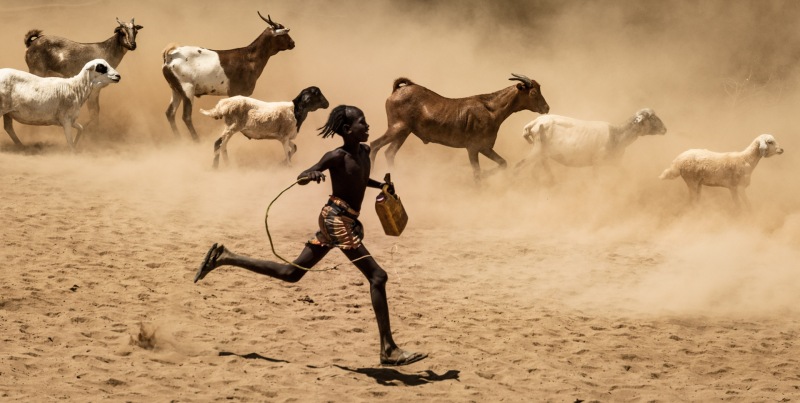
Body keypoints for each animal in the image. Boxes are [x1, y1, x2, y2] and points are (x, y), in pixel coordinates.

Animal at [162, 11, 296, 142]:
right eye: (284, 34)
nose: (292, 43)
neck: (249, 58)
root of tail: (170, 57)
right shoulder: (237, 92)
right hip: (187, 90)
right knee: (186, 116)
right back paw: (196, 141)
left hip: (176, 91)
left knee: (170, 113)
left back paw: (179, 140)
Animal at [202, 86, 330, 168]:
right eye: (317, 93)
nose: (327, 104)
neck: (295, 111)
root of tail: (222, 105)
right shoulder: (284, 137)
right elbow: (287, 152)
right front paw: (288, 165)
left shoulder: (284, 137)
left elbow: (294, 148)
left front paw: (282, 163)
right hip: (232, 126)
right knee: (219, 144)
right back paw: (219, 167)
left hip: (231, 127)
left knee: (221, 145)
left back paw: (222, 166)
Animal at [368, 74, 552, 183]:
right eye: (533, 93)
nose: (546, 108)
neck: (491, 108)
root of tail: (396, 91)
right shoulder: (473, 148)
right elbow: (477, 173)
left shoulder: (485, 147)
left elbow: (503, 163)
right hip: (397, 128)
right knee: (374, 145)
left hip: (403, 133)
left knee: (389, 152)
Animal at [516, 108, 664, 182]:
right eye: (651, 117)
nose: (665, 129)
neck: (617, 135)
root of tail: (534, 123)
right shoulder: (597, 161)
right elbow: (596, 180)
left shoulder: (616, 162)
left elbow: (626, 174)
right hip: (537, 149)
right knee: (518, 166)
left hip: (542, 154)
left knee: (535, 172)